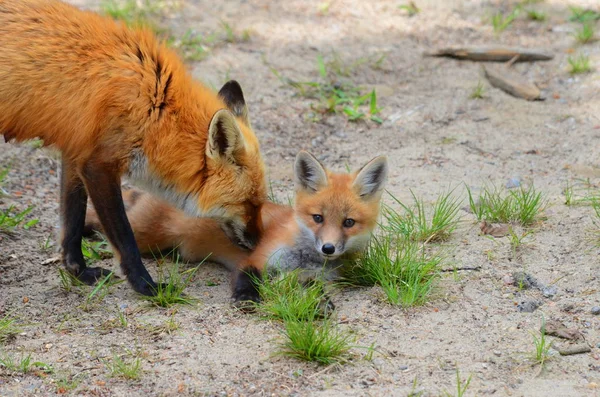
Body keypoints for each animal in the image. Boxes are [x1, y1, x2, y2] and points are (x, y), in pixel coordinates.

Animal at [0, 0, 268, 296]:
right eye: (250, 203)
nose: (260, 243)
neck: (155, 105)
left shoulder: (75, 151)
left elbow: (71, 222)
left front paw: (78, 271)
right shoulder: (98, 166)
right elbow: (125, 238)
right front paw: (145, 286)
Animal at [84, 151, 386, 300]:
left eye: (348, 223)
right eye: (318, 218)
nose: (328, 248)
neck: (305, 257)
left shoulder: (308, 277)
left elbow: (314, 290)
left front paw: (320, 305)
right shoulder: (257, 258)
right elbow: (246, 277)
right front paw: (246, 297)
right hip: (143, 237)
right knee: (102, 222)